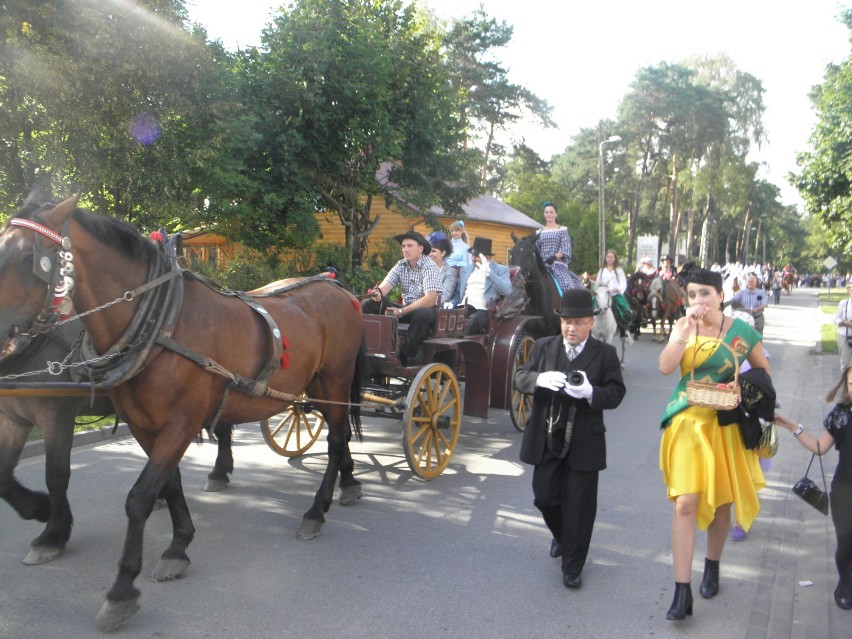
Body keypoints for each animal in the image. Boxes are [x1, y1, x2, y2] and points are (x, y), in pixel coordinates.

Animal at [0, 194, 362, 632]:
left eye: (26, 257)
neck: (162, 325)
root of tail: (336, 285)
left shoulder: (174, 423)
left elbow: (133, 496)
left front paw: (120, 589)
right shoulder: (139, 424)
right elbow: (167, 483)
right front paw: (178, 545)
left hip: (334, 380)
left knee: (337, 439)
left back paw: (317, 510)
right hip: (316, 388)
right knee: (337, 436)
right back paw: (348, 485)